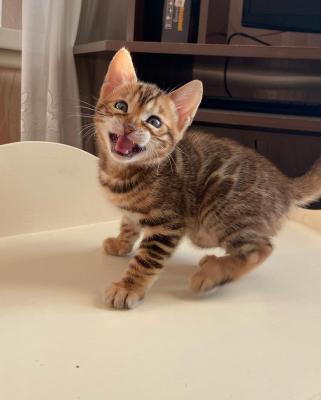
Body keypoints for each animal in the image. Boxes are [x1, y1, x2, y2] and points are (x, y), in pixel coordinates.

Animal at [94, 47, 320, 310]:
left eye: (154, 122)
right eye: (121, 106)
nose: (129, 126)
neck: (121, 173)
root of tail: (285, 183)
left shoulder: (168, 223)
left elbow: (148, 259)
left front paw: (128, 287)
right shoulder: (132, 213)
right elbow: (128, 225)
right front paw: (121, 243)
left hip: (221, 207)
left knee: (260, 248)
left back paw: (212, 275)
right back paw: (215, 264)